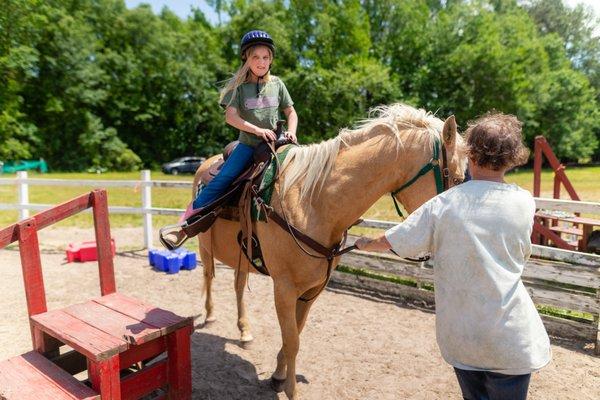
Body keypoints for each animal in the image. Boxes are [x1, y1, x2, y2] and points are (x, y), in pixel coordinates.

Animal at [191, 104, 464, 398]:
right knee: (208, 276)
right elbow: (292, 341)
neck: (312, 202)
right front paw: (290, 389)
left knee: (239, 285)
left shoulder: (312, 289)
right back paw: (210, 314)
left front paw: (278, 375)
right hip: (205, 247)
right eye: (457, 178)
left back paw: (244, 331)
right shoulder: (284, 289)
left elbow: (295, 334)